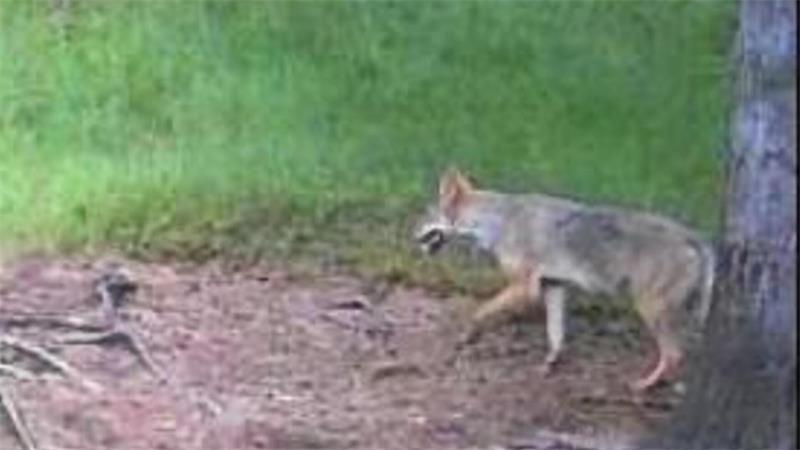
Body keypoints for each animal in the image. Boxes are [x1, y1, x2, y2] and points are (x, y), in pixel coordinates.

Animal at [414, 168, 715, 391]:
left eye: (425, 216)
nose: (411, 235)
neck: (499, 222)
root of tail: (695, 237)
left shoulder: (525, 289)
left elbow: (480, 311)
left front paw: (467, 335)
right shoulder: (554, 288)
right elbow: (555, 335)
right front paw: (551, 363)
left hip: (650, 310)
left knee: (675, 354)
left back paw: (644, 386)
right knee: (680, 352)